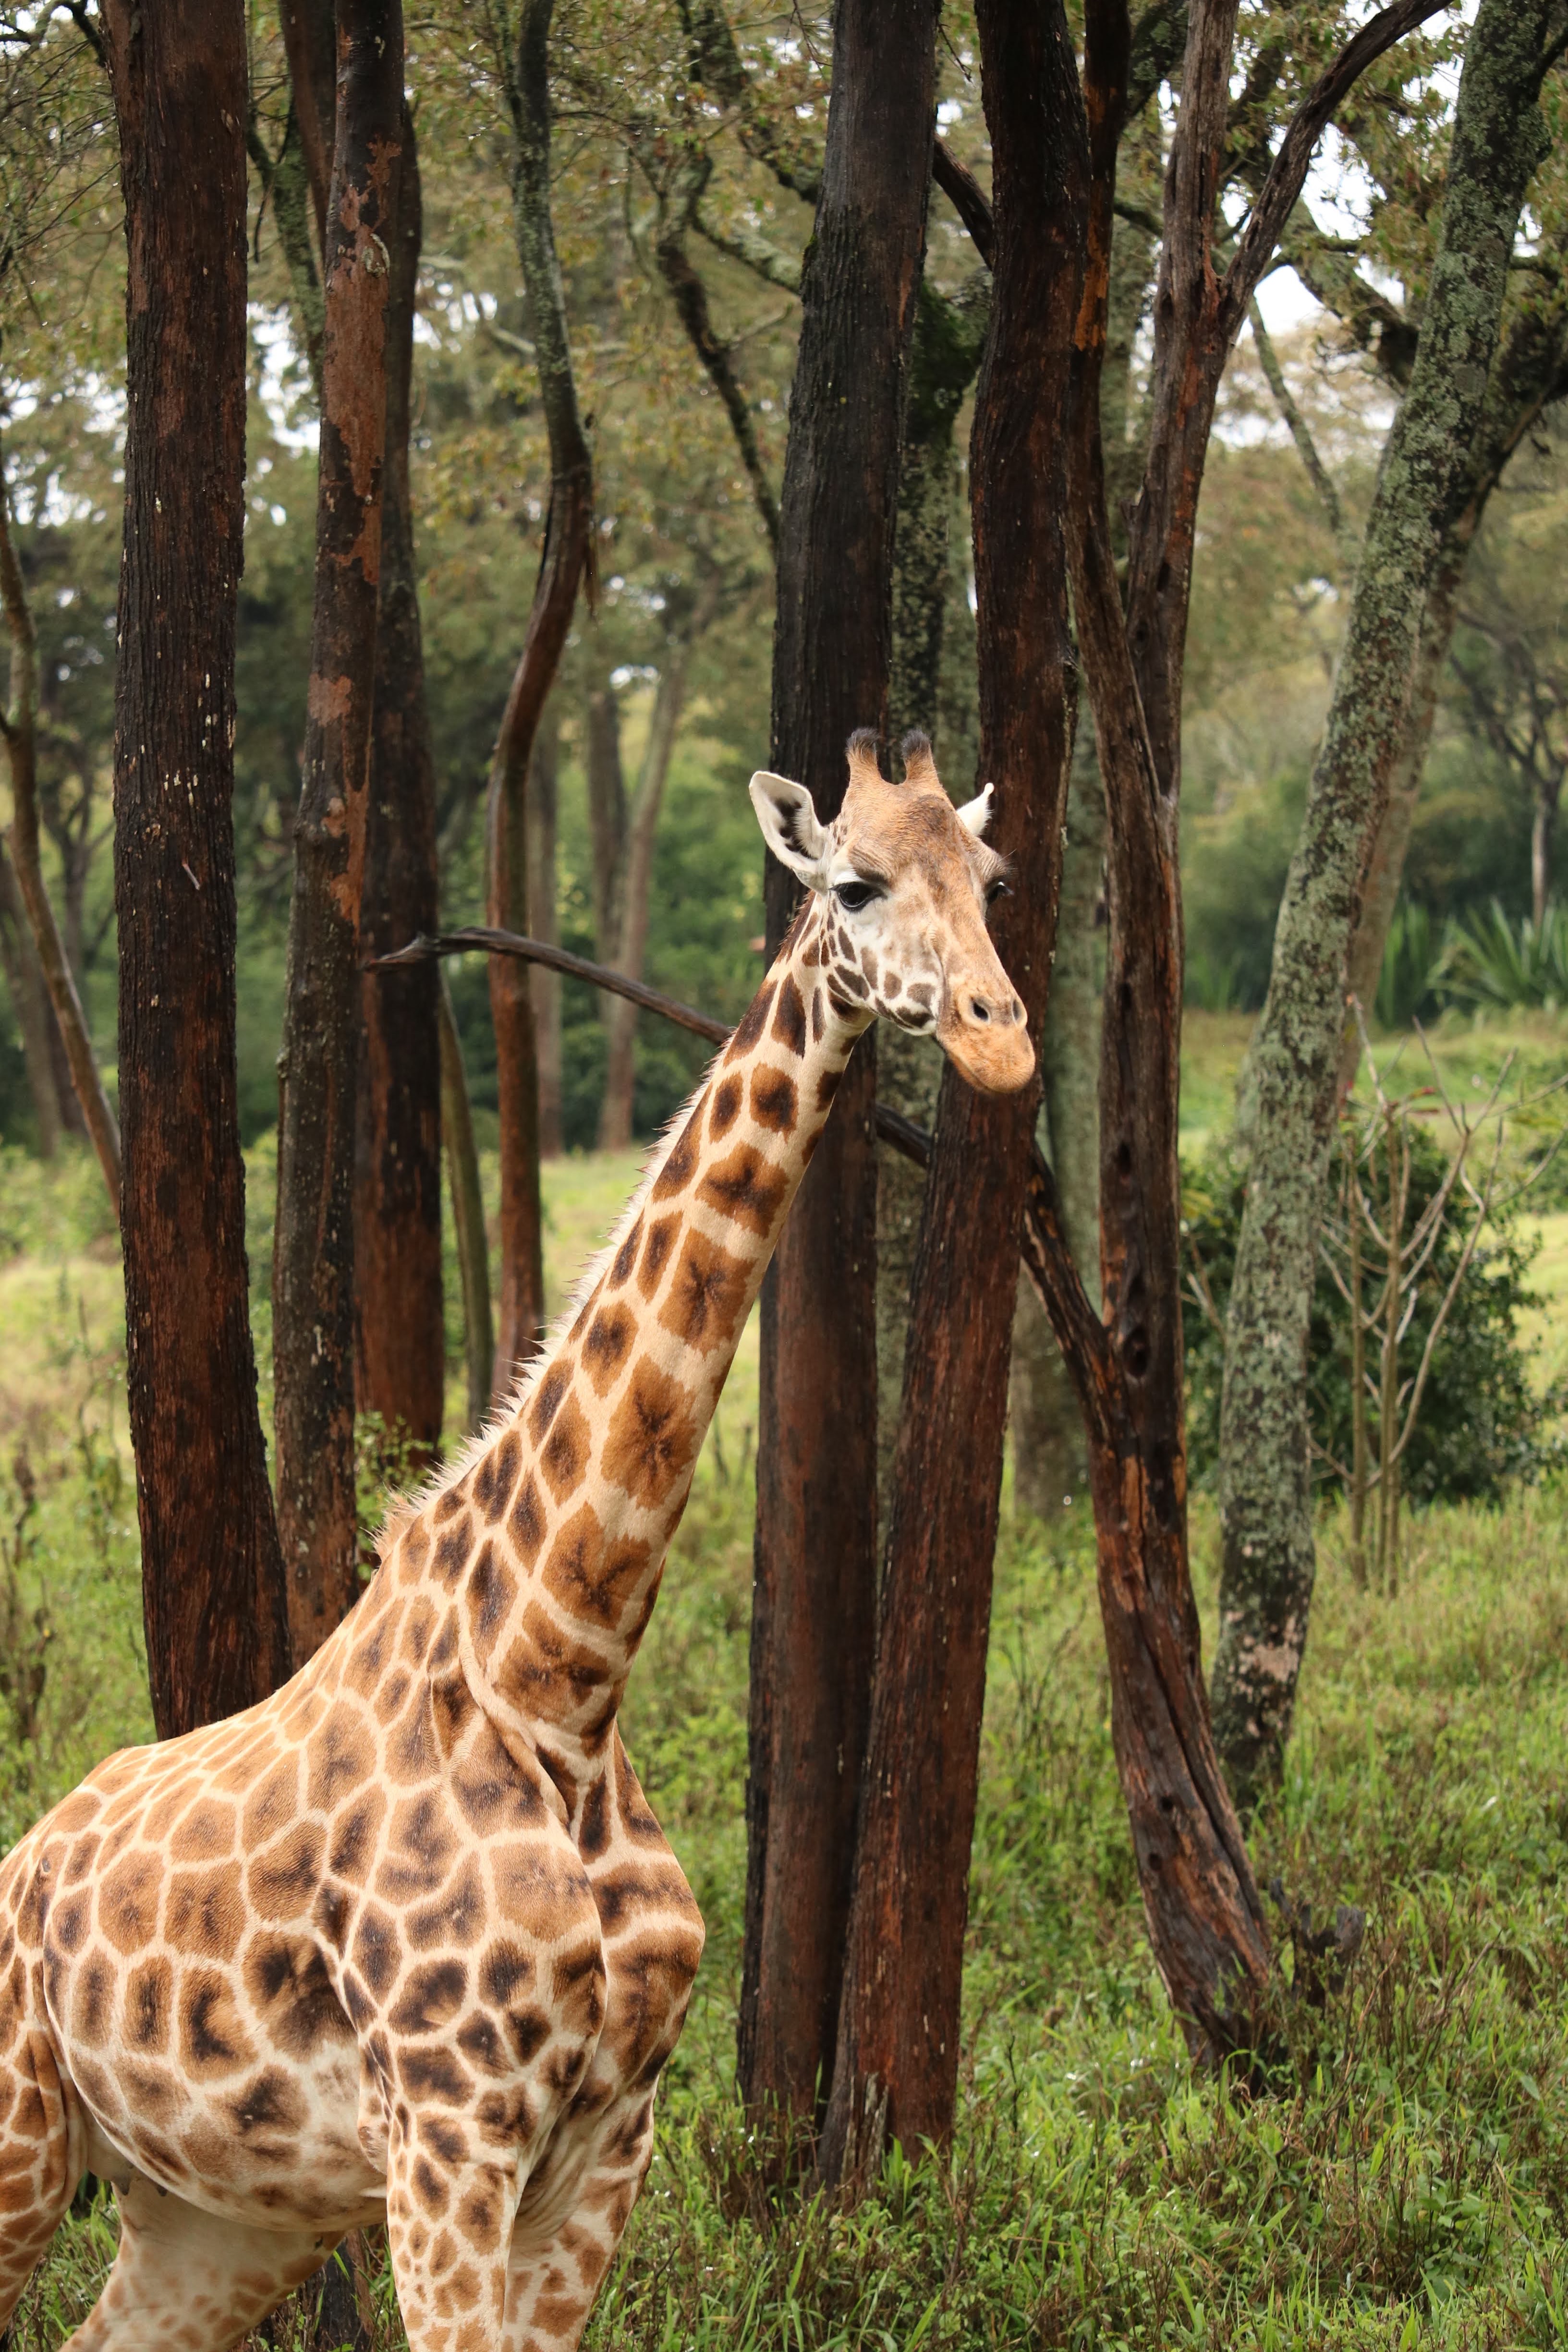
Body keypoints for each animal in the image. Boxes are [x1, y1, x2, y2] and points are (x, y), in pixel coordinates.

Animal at [0, 728, 1033, 2352]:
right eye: (855, 883)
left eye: (990, 881)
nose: (1001, 1043)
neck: (563, 1668)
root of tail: (19, 1861)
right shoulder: (448, 2138)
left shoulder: (607, 2145)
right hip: (24, 2138)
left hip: (215, 2213)